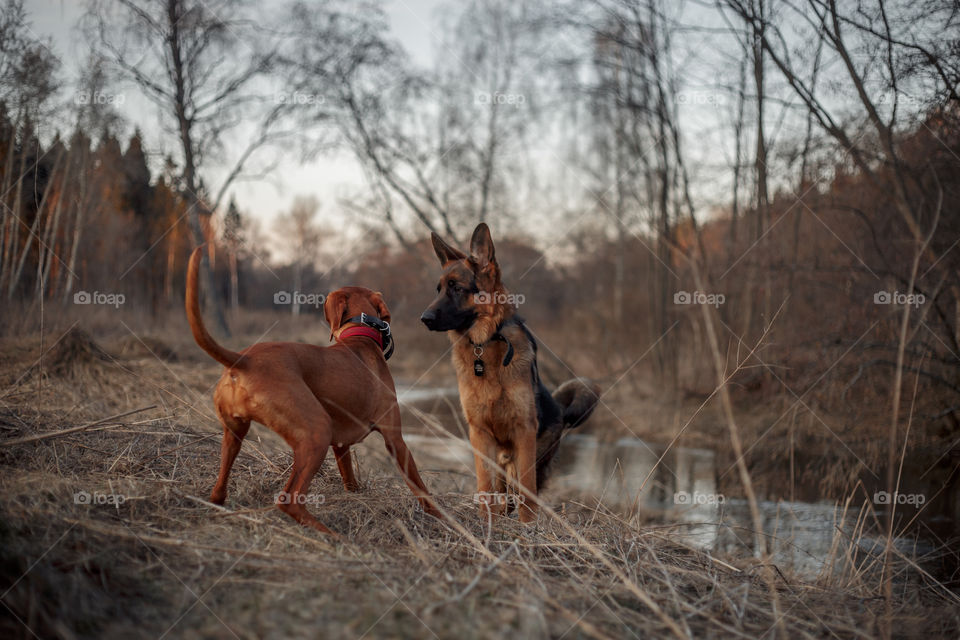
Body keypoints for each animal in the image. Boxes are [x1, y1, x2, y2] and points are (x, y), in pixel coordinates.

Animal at [186, 248, 440, 532]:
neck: (359, 337)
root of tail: (243, 360)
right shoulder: (395, 439)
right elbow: (420, 487)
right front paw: (441, 518)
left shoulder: (340, 445)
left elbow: (349, 478)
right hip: (316, 431)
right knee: (289, 500)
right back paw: (329, 533)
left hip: (234, 433)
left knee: (220, 487)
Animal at [422, 222, 600, 524]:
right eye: (438, 289)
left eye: (456, 288)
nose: (424, 318)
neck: (486, 345)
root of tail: (560, 409)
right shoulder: (479, 432)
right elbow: (484, 485)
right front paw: (486, 521)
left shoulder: (524, 431)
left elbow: (527, 490)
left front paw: (528, 526)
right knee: (502, 491)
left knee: (524, 489)